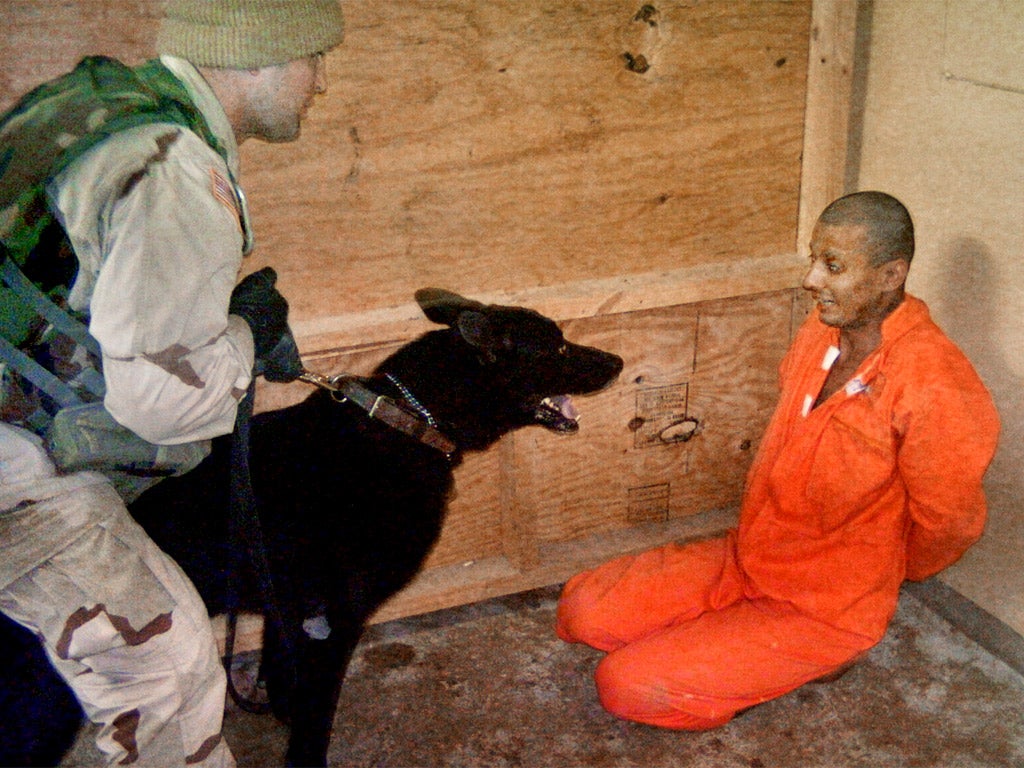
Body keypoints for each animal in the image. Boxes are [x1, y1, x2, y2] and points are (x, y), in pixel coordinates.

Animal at [2, 290, 622, 768]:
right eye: (559, 346)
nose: (617, 360)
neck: (407, 420)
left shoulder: (294, 616)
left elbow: (286, 688)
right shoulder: (335, 622)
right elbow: (315, 721)